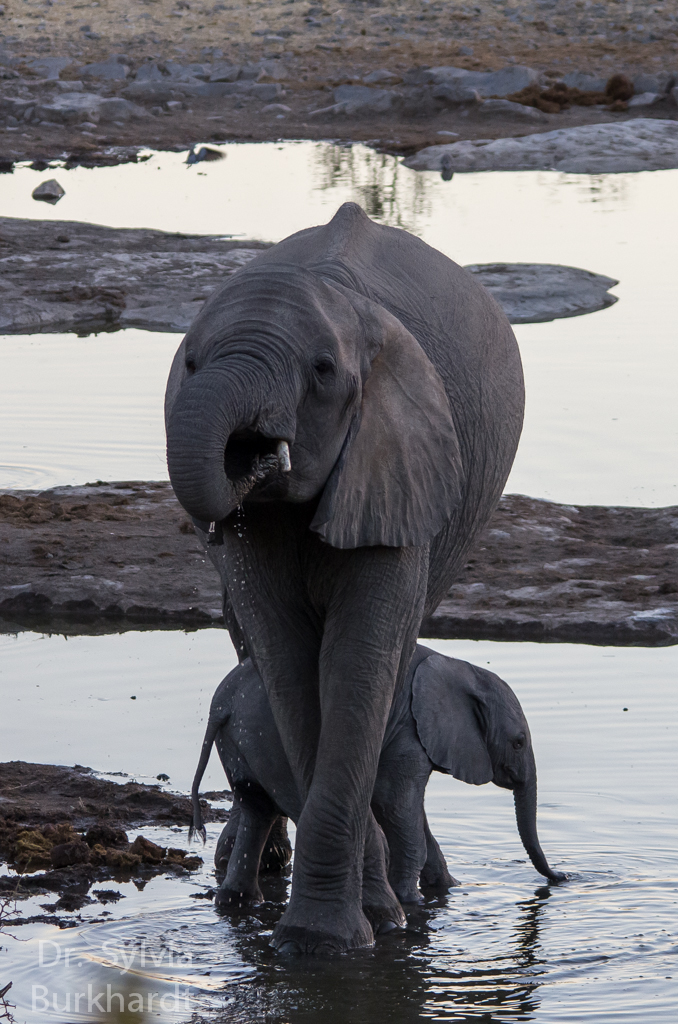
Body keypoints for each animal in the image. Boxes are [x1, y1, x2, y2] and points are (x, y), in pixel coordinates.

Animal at [165, 203, 524, 954]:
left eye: (324, 372)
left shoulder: (399, 456)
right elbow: (289, 661)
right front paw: (341, 930)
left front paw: (344, 935)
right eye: (191, 363)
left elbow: (357, 658)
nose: (253, 455)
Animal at [192, 643, 569, 909]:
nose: (563, 876)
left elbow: (410, 814)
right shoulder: (409, 732)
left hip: (240, 741)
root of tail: (221, 704)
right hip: (273, 739)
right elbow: (395, 805)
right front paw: (412, 901)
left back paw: (237, 902)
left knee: (256, 808)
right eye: (518, 743)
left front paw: (448, 889)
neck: (459, 668)